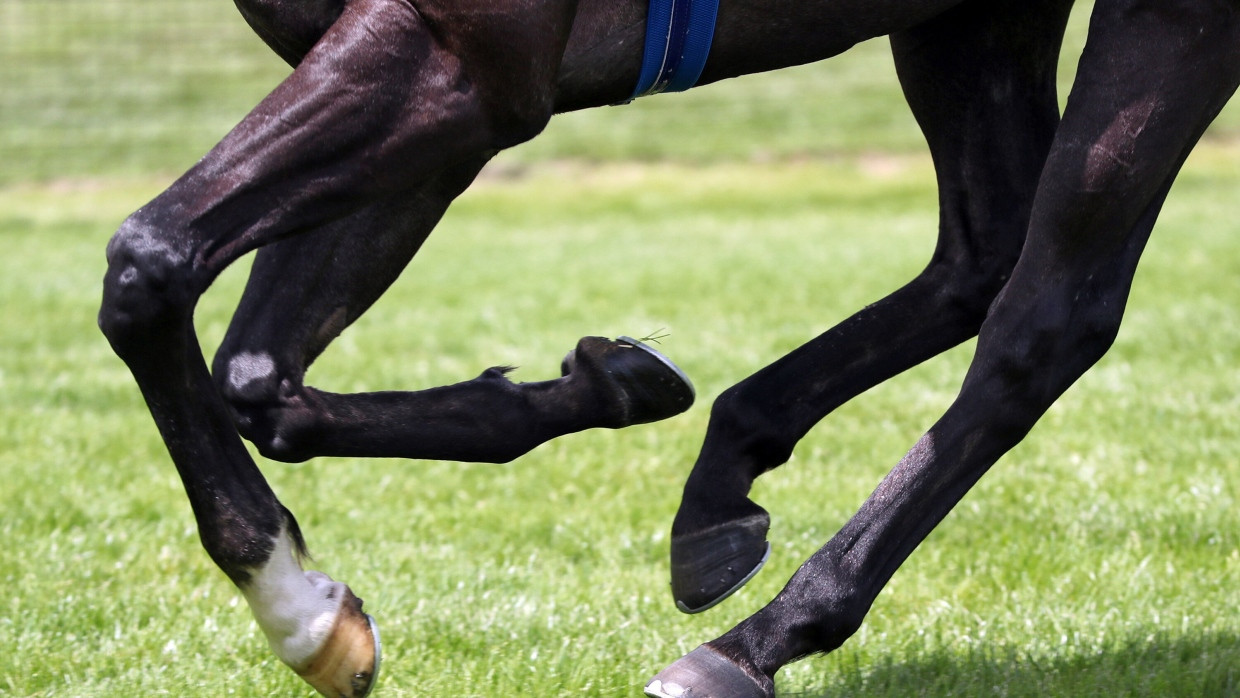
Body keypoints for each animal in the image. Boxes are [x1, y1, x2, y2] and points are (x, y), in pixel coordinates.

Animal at [99, 0, 1240, 694]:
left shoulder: (457, 66)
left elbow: (148, 265)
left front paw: (296, 612)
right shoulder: (449, 96)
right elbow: (260, 378)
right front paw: (611, 383)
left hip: (1169, 18)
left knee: (1047, 318)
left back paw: (759, 640)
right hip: (970, 18)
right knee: (981, 252)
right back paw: (724, 476)